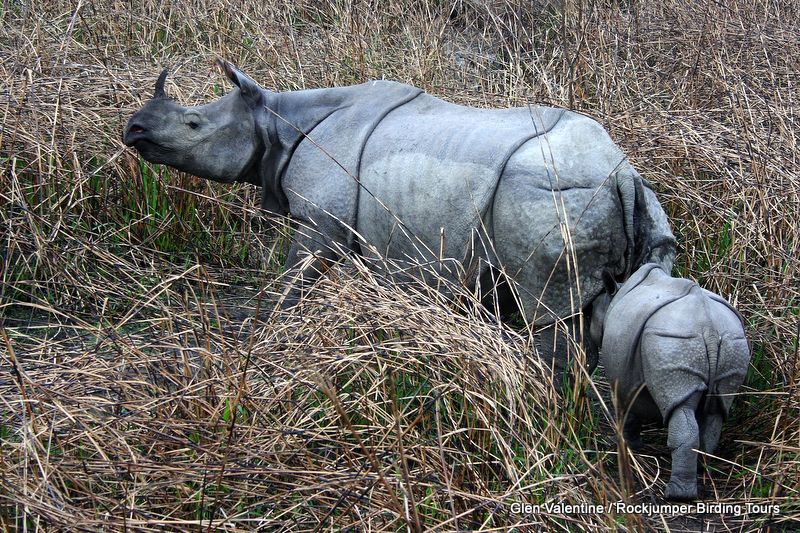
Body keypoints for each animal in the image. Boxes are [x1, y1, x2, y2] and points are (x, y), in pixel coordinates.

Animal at [588, 264, 752, 500]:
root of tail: (709, 327)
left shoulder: (624, 381)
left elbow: (628, 409)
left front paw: (627, 445)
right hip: (731, 342)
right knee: (717, 410)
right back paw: (702, 469)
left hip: (673, 340)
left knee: (681, 406)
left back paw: (677, 495)